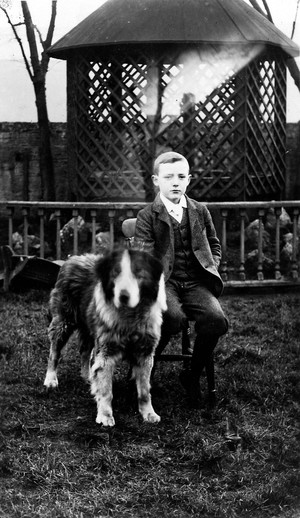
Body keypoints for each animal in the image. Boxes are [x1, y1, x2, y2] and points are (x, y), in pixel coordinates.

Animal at [44, 250, 166, 428]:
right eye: (117, 274)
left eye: (138, 274)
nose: (123, 295)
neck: (130, 316)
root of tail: (73, 257)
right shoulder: (106, 353)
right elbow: (106, 390)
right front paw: (105, 416)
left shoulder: (144, 354)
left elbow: (144, 390)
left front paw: (149, 413)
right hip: (63, 322)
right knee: (54, 352)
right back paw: (51, 379)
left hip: (88, 327)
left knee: (85, 351)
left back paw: (87, 376)